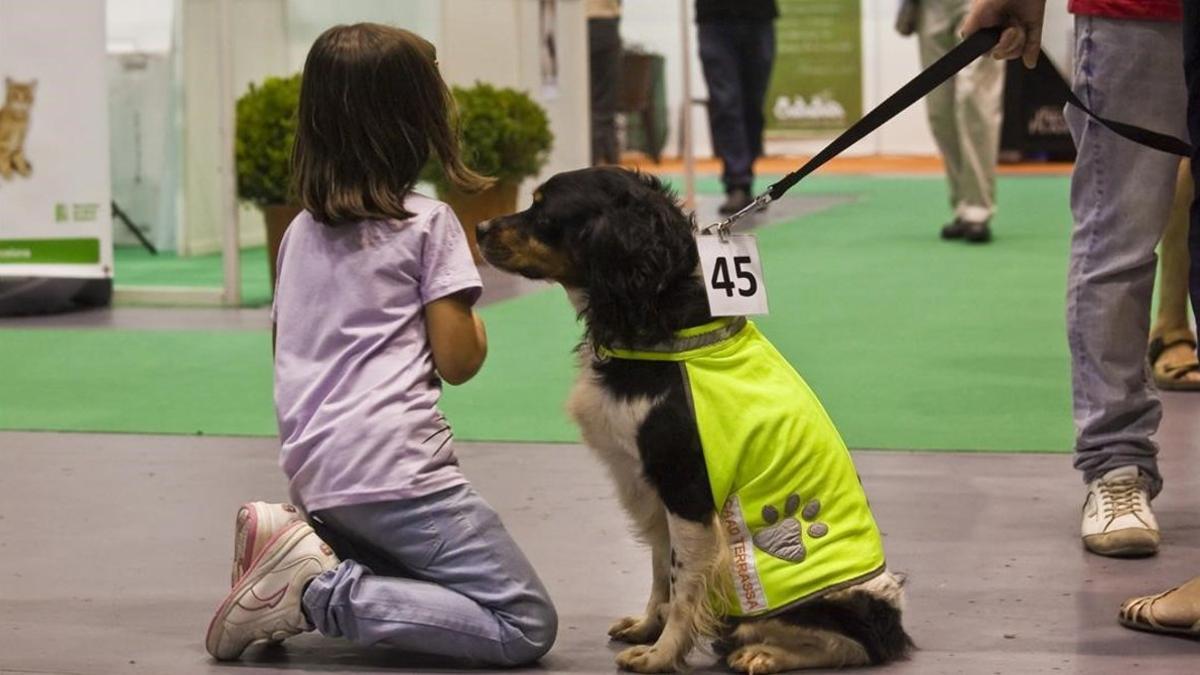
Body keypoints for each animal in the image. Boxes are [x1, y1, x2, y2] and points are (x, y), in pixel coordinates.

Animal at [475, 165, 907, 667]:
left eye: (543, 211)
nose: (479, 228)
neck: (659, 313)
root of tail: (892, 619)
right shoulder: (649, 486)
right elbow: (660, 567)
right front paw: (647, 627)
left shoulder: (686, 488)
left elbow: (684, 584)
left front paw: (661, 655)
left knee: (854, 644)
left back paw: (764, 655)